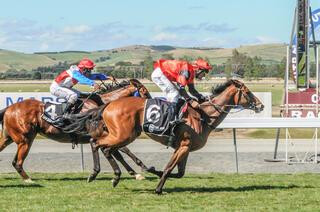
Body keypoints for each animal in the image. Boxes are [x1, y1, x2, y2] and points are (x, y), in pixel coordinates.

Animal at [0, 78, 152, 183]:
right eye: (145, 92)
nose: (151, 104)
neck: (102, 106)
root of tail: (9, 108)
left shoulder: (111, 134)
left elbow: (121, 152)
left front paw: (136, 173)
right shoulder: (106, 134)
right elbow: (122, 151)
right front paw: (138, 171)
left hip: (9, 137)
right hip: (25, 139)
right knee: (18, 162)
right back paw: (28, 179)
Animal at [83, 79, 264, 192]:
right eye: (247, 92)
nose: (261, 105)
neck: (204, 116)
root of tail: (108, 105)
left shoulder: (184, 147)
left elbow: (178, 172)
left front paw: (153, 171)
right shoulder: (183, 146)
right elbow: (170, 168)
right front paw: (158, 188)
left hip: (124, 134)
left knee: (103, 146)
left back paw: (112, 175)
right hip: (123, 135)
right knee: (98, 144)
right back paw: (100, 175)